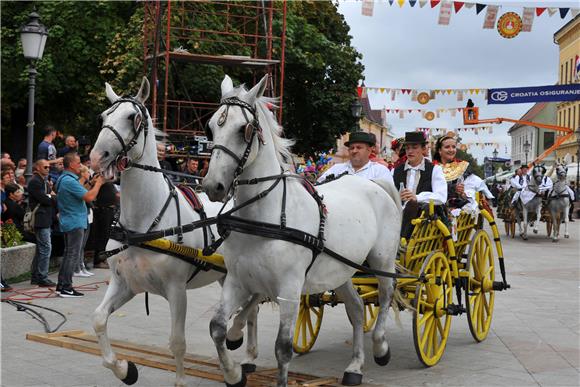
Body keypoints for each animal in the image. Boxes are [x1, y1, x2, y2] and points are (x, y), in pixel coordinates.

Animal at [89, 77, 258, 386]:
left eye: (132, 118)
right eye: (103, 117)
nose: (97, 157)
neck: (143, 223)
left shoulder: (176, 290)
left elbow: (177, 342)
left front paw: (179, 379)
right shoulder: (124, 284)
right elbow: (98, 319)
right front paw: (124, 369)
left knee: (254, 304)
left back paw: (240, 345)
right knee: (252, 309)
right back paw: (247, 356)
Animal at [202, 76, 402, 387]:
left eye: (243, 129)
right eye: (211, 127)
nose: (213, 186)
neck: (264, 218)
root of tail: (372, 183)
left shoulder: (289, 288)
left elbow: (283, 348)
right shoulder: (237, 280)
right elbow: (218, 328)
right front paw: (234, 373)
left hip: (382, 261)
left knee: (385, 295)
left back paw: (380, 346)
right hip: (341, 269)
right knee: (357, 309)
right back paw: (354, 366)